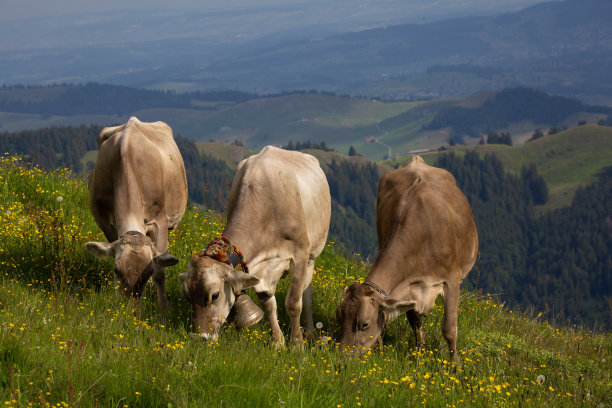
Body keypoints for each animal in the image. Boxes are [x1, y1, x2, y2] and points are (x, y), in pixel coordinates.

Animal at [85, 116, 188, 308]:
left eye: (147, 273)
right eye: (116, 270)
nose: (130, 307)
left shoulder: (159, 221)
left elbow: (160, 271)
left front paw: (163, 306)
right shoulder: (107, 224)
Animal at [179, 145, 332, 346]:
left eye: (215, 295)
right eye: (187, 295)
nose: (200, 337)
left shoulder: (300, 254)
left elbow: (294, 303)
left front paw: (297, 343)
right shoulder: (259, 270)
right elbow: (268, 305)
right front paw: (277, 341)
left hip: (312, 257)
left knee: (307, 295)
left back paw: (310, 332)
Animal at [338, 155, 476, 362]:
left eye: (364, 324)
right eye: (339, 317)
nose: (342, 358)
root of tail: (416, 159)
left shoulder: (452, 280)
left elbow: (449, 330)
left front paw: (455, 366)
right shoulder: (408, 288)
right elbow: (415, 322)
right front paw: (418, 355)